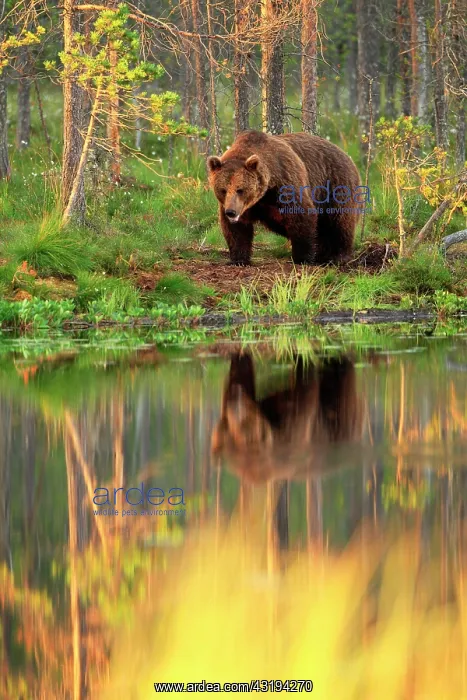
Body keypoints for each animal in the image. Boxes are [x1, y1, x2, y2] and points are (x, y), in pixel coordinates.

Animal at [207, 130, 362, 266]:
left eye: (240, 190)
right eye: (223, 190)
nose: (231, 212)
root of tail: (347, 155)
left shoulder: (286, 182)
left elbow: (301, 215)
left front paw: (302, 257)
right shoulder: (246, 207)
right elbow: (237, 230)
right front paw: (238, 259)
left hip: (335, 184)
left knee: (340, 221)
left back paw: (338, 256)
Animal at [211, 352, 364, 484]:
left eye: (243, 423)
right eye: (229, 421)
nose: (235, 395)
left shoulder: (293, 427)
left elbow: (305, 389)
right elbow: (242, 372)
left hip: (340, 420)